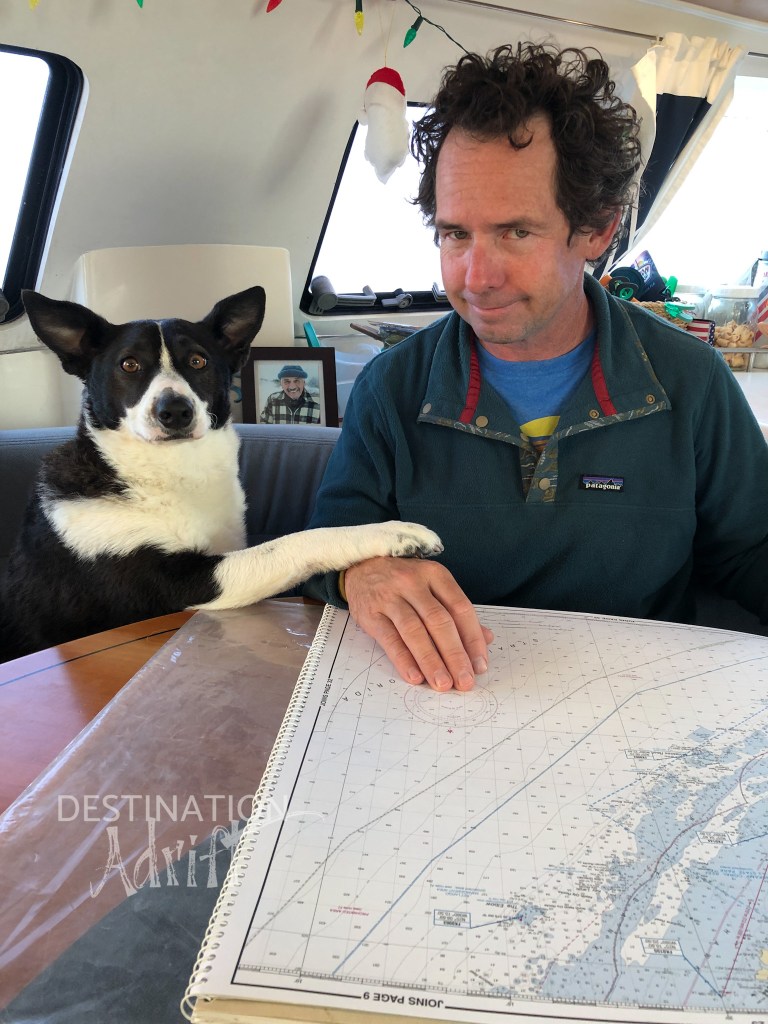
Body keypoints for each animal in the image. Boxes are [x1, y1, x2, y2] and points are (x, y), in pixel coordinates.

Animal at [0, 287, 442, 661]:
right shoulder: (183, 583)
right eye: (129, 364)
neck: (167, 473)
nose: (174, 411)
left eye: (198, 361)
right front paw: (393, 533)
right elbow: (297, 542)